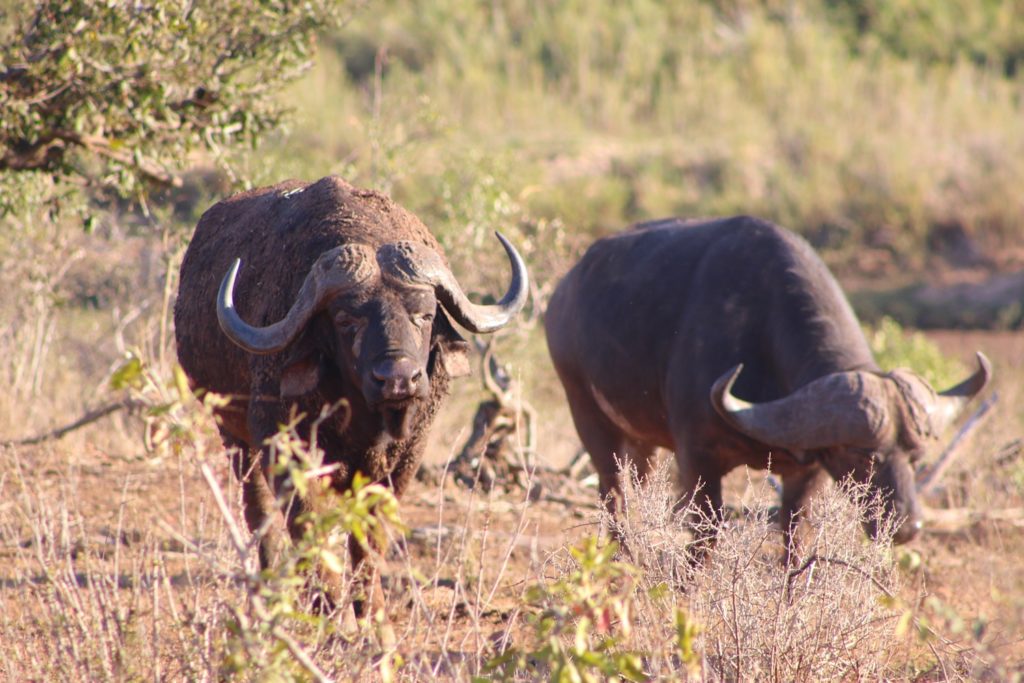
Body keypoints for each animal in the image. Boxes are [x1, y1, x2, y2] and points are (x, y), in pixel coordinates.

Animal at [174, 176, 528, 614]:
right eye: (346, 318)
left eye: (425, 313)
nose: (398, 379)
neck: (365, 423)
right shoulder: (287, 454)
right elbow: (309, 536)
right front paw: (325, 608)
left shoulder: (403, 463)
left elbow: (369, 543)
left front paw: (371, 615)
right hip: (234, 438)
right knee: (258, 512)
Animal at [548, 218, 987, 548]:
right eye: (864, 457)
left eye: (917, 455)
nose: (907, 528)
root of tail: (565, 289)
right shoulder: (697, 459)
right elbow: (704, 539)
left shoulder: (805, 475)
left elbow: (796, 542)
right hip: (586, 414)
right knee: (613, 496)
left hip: (642, 441)